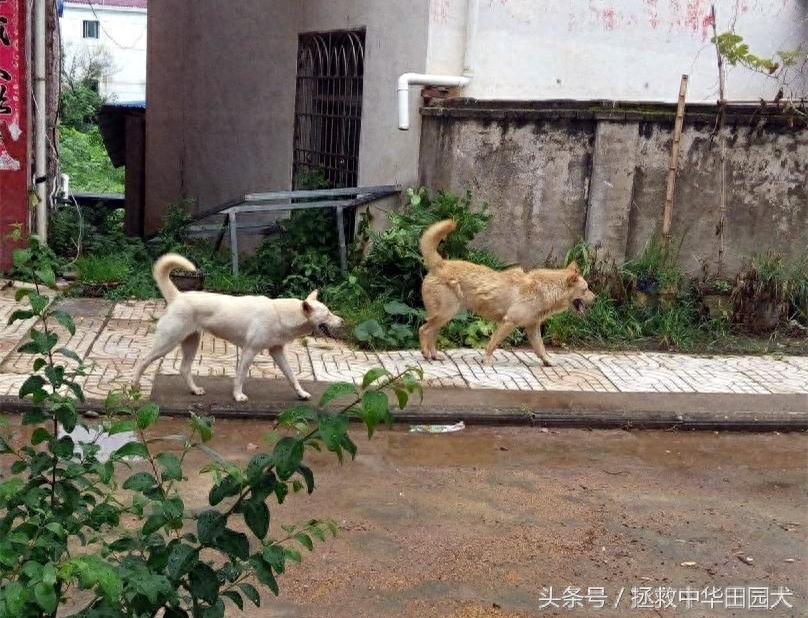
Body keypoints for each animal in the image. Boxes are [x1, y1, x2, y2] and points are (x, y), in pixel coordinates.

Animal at [134, 253, 342, 402]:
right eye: (328, 313)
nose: (342, 321)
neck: (281, 314)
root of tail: (178, 296)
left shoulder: (277, 352)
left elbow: (292, 376)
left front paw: (301, 393)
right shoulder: (249, 351)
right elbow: (240, 377)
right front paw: (238, 396)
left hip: (191, 342)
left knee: (184, 369)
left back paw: (194, 390)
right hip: (167, 342)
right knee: (143, 361)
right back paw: (133, 388)